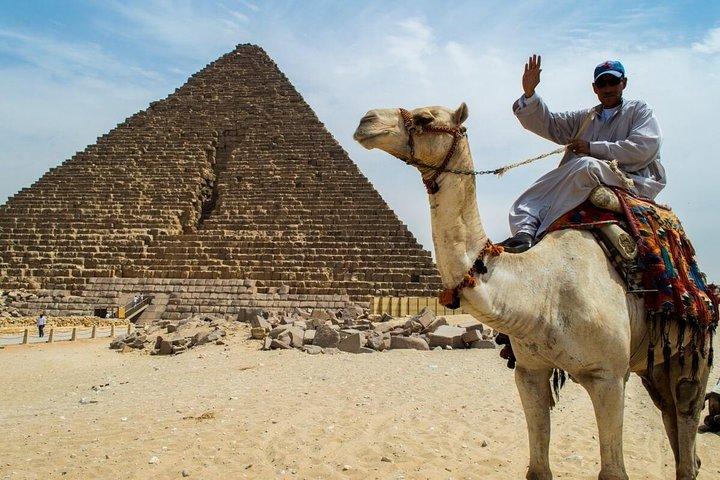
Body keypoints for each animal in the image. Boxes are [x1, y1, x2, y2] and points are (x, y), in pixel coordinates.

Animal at [353, 103, 711, 480]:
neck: (541, 290)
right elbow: (538, 469)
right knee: (671, 420)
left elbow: (614, 472)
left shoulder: (610, 377)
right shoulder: (529, 373)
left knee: (685, 418)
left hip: (693, 352)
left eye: (425, 118)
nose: (366, 121)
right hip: (652, 362)